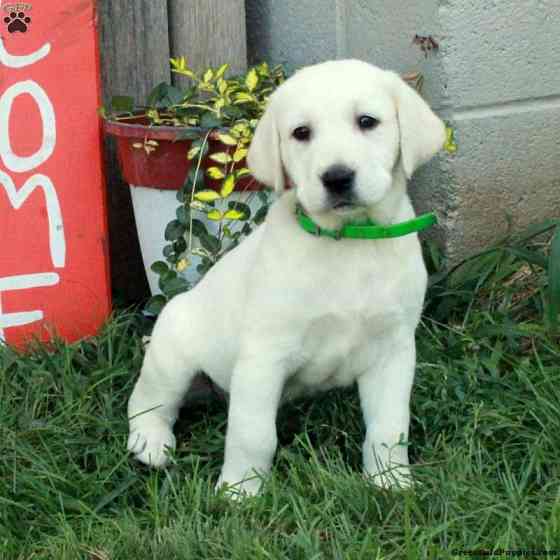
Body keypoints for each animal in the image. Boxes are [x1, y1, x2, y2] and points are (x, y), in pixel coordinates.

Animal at [128, 59, 446, 494]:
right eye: (301, 133)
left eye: (367, 121)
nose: (337, 177)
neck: (350, 242)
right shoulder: (264, 354)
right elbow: (253, 434)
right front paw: (239, 492)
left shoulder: (393, 350)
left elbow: (389, 426)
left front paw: (390, 481)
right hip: (172, 355)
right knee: (148, 401)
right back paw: (150, 441)